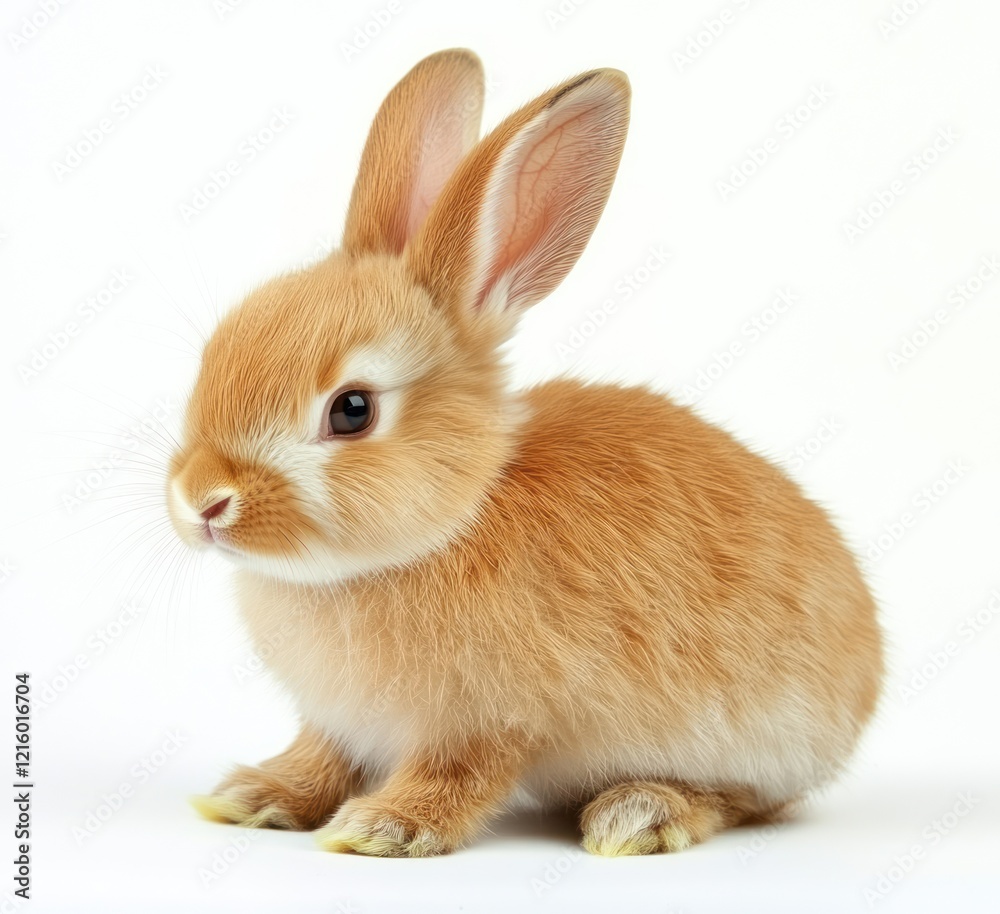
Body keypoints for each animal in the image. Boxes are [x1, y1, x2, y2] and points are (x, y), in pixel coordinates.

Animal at [167, 48, 883, 857]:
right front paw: (255, 795)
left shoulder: (492, 720)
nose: (200, 501)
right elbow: (320, 756)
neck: (454, 517)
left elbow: (459, 774)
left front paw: (384, 828)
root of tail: (867, 672)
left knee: (742, 802)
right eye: (212, 355)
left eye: (352, 410)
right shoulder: (339, 724)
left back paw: (640, 812)